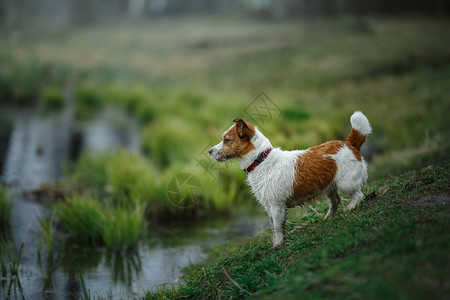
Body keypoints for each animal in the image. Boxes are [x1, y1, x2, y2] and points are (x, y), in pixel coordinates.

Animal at [209, 111, 370, 247]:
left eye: (226, 140)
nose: (210, 151)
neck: (261, 160)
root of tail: (349, 143)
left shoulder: (276, 206)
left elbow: (277, 227)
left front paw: (278, 244)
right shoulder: (269, 207)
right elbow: (274, 226)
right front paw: (276, 242)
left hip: (346, 184)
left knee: (358, 195)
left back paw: (349, 208)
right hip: (329, 185)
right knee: (336, 200)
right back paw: (328, 216)